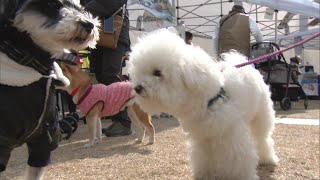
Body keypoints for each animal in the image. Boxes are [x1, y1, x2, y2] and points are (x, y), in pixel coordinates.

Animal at [129, 29, 278, 180]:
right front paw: (204, 174)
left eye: (157, 72)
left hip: (261, 116)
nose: (137, 88)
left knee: (263, 138)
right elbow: (203, 158)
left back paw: (268, 159)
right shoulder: (202, 138)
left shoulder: (231, 135)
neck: (208, 101)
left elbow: (238, 158)